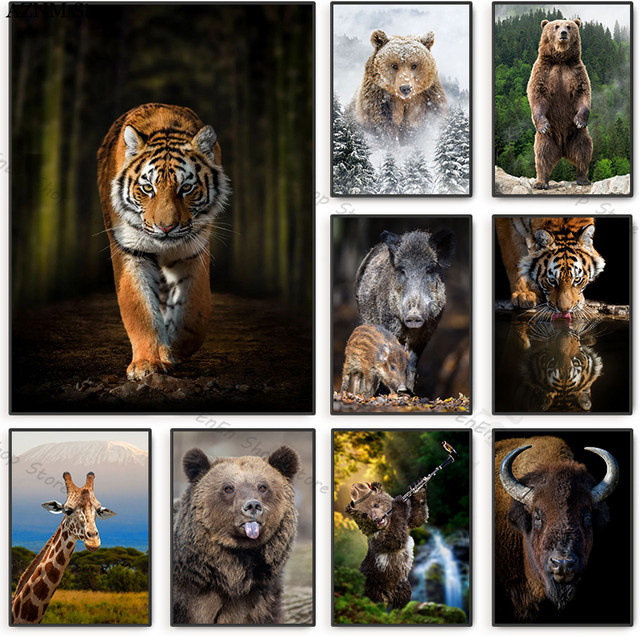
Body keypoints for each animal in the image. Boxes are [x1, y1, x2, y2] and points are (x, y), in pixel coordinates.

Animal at [97, 103, 230, 380]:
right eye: (148, 188)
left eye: (186, 188)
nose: (166, 228)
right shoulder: (131, 251)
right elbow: (140, 309)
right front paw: (149, 363)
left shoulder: (194, 250)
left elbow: (195, 312)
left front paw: (176, 348)